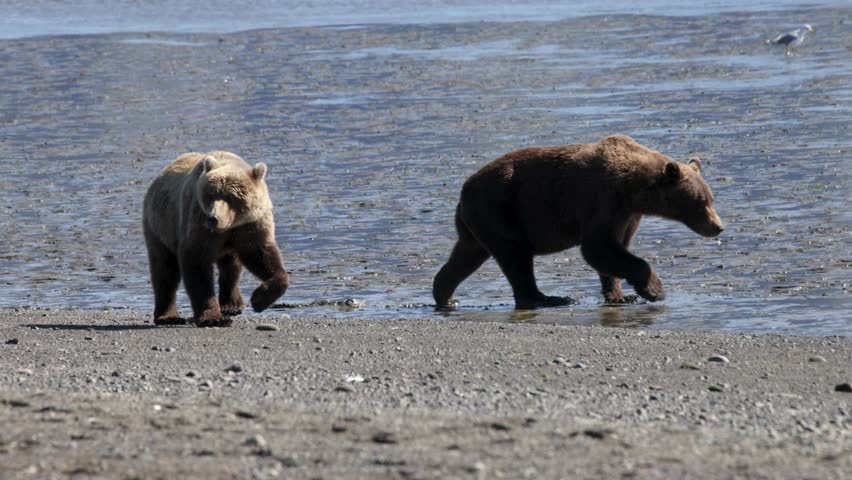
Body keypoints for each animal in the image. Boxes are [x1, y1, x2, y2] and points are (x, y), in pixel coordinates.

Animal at [143, 151, 290, 327]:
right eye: (211, 194)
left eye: (232, 197)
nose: (213, 218)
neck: (229, 226)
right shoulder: (199, 226)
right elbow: (197, 265)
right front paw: (213, 317)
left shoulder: (251, 226)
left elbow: (263, 256)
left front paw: (259, 300)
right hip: (160, 227)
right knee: (165, 270)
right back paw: (168, 316)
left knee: (231, 268)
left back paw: (231, 305)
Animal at [432, 134, 724, 310]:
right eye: (701, 201)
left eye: (711, 198)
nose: (718, 227)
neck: (634, 189)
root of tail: (463, 190)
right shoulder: (603, 201)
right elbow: (598, 247)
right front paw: (654, 290)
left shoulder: (628, 214)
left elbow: (615, 249)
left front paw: (621, 295)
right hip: (499, 208)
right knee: (516, 257)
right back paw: (549, 298)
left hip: (478, 223)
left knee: (467, 256)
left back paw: (446, 295)